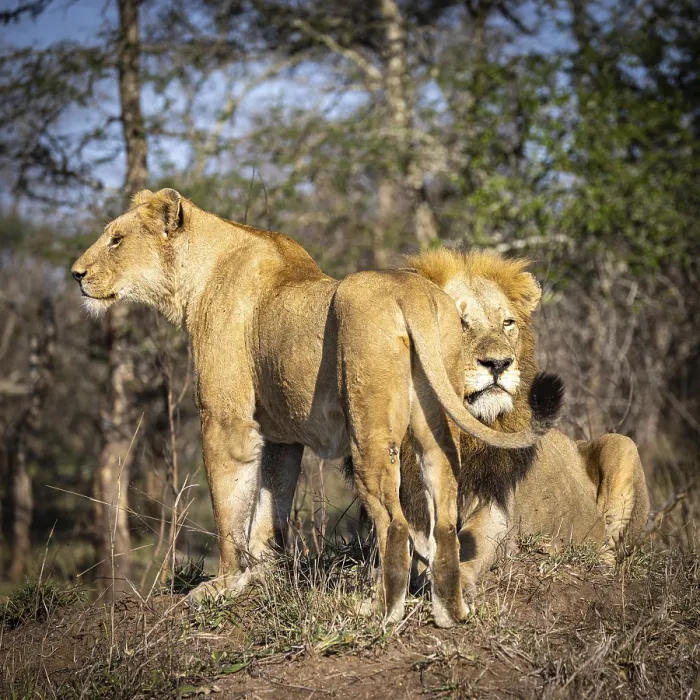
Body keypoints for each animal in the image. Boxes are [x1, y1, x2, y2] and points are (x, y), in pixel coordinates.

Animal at [71, 189, 563, 627]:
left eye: (116, 239)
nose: (76, 274)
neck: (198, 275)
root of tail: (409, 295)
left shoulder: (227, 421)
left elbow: (231, 507)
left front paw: (222, 585)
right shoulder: (280, 436)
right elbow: (271, 507)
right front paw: (263, 576)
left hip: (368, 425)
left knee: (395, 524)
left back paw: (380, 614)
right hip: (433, 426)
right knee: (443, 518)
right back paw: (450, 612)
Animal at [398, 248, 650, 593]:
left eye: (507, 323)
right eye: (459, 322)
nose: (499, 363)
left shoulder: (496, 508)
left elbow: (473, 541)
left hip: (622, 445)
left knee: (609, 552)